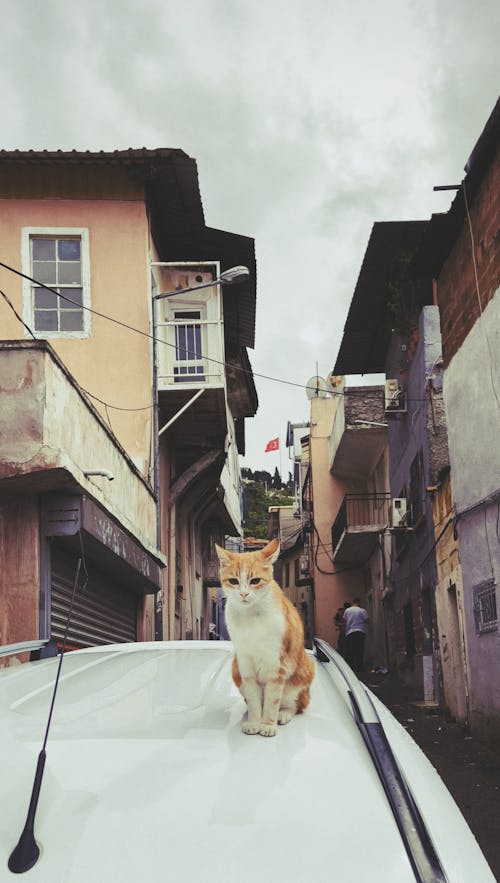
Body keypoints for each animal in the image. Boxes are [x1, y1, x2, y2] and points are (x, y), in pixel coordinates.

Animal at [216, 540, 316, 740]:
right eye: (234, 581)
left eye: (255, 581)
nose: (244, 594)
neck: (251, 617)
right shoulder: (245, 664)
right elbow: (255, 700)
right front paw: (255, 722)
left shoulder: (276, 665)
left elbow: (272, 700)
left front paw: (268, 724)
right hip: (235, 668)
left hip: (303, 675)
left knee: (296, 705)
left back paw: (283, 714)